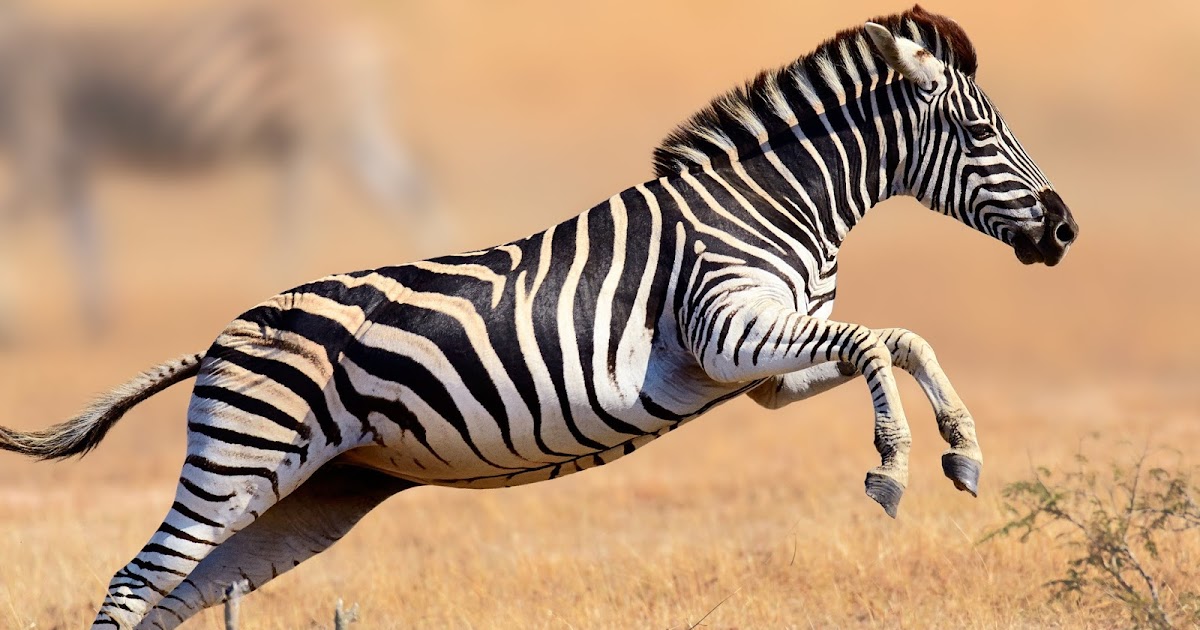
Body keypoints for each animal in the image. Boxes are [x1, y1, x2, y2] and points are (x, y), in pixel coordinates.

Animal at [0, 0, 429, 333]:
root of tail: (362, 38)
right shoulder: (70, 164)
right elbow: (85, 238)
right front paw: (98, 318)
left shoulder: (41, 149)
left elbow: (19, 225)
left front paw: (13, 323)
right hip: (350, 132)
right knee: (412, 192)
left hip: (314, 134)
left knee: (299, 218)